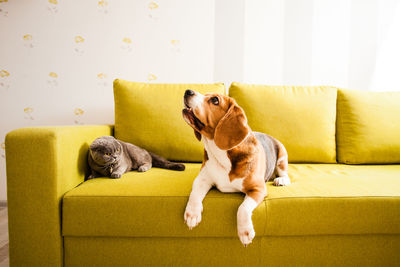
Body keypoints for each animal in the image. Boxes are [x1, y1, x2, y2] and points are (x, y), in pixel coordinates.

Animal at [182, 90, 290, 247]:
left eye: (215, 100)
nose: (188, 91)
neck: (222, 154)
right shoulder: (202, 179)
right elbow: (195, 193)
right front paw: (192, 213)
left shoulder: (258, 189)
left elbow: (242, 208)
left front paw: (245, 232)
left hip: (282, 155)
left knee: (285, 174)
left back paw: (280, 180)